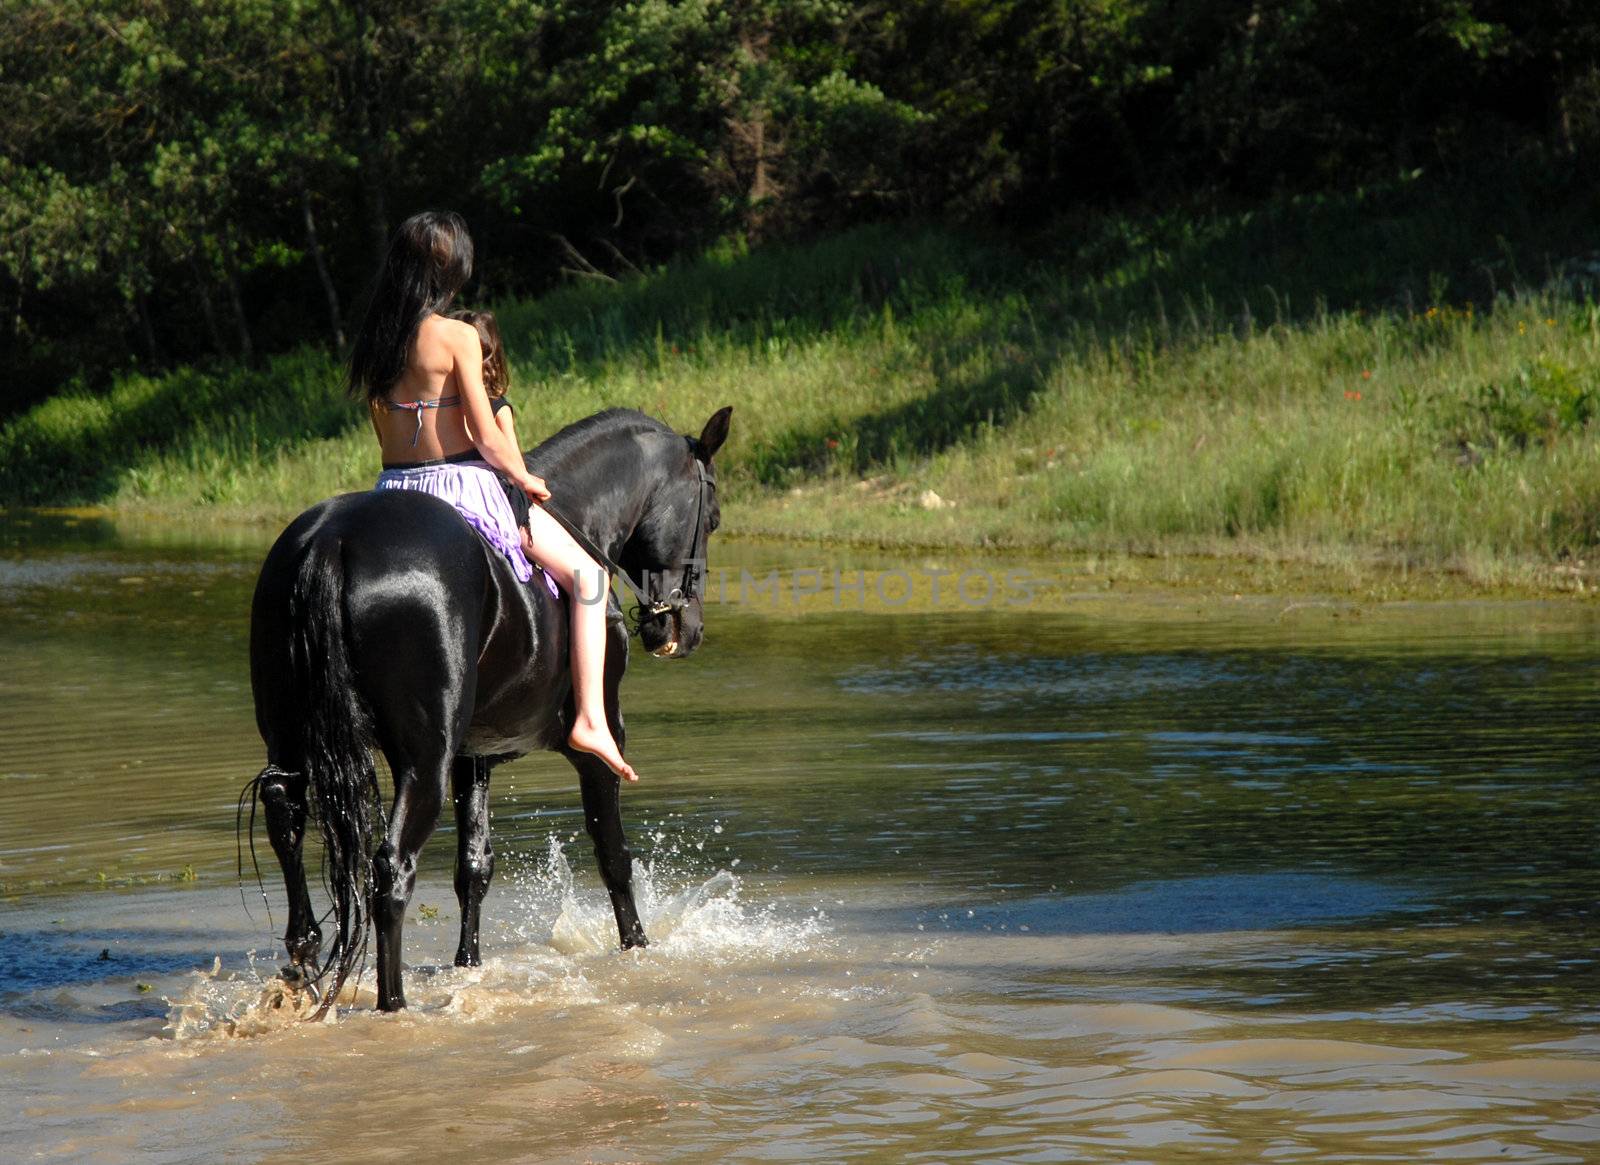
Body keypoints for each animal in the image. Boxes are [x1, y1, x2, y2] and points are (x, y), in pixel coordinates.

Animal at [246, 408, 729, 1011]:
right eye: (711, 519)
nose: (685, 631)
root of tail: (333, 540)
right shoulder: (598, 749)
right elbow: (614, 856)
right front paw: (637, 951)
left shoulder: (472, 757)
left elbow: (474, 867)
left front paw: (467, 967)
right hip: (423, 765)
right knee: (391, 871)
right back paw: (392, 1004)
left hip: (293, 745)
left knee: (286, 818)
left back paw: (306, 970)